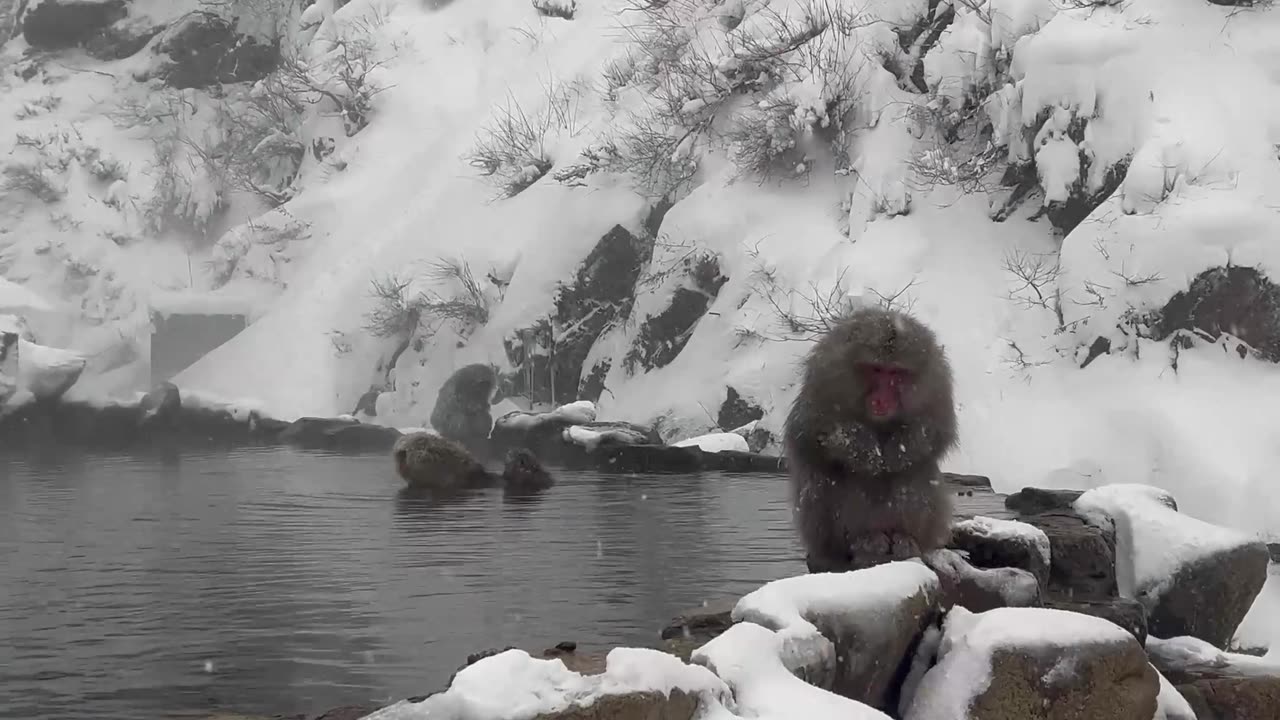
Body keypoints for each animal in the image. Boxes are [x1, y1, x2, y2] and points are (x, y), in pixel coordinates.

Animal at [778, 302, 962, 571]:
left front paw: (898, 450)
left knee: (916, 474)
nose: (882, 400)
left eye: (896, 373)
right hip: (819, 530)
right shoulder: (825, 374)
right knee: (834, 480)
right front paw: (864, 447)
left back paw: (904, 538)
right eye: (876, 370)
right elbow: (808, 429)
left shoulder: (936, 383)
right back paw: (863, 541)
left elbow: (936, 430)